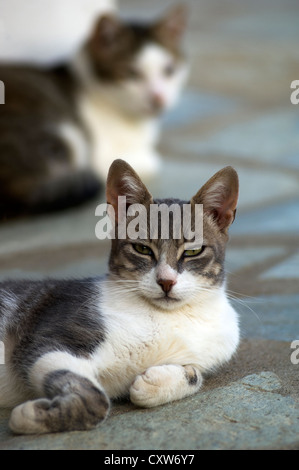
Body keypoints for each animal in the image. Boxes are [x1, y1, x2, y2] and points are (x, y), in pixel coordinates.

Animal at [0, 5, 188, 218]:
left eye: (169, 70)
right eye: (131, 74)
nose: (158, 98)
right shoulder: (100, 157)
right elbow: (151, 162)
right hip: (67, 136)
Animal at [0, 160, 240, 436]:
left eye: (193, 251)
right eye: (142, 248)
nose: (166, 281)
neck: (169, 317)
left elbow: (195, 374)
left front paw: (154, 383)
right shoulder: (47, 339)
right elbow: (94, 399)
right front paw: (29, 416)